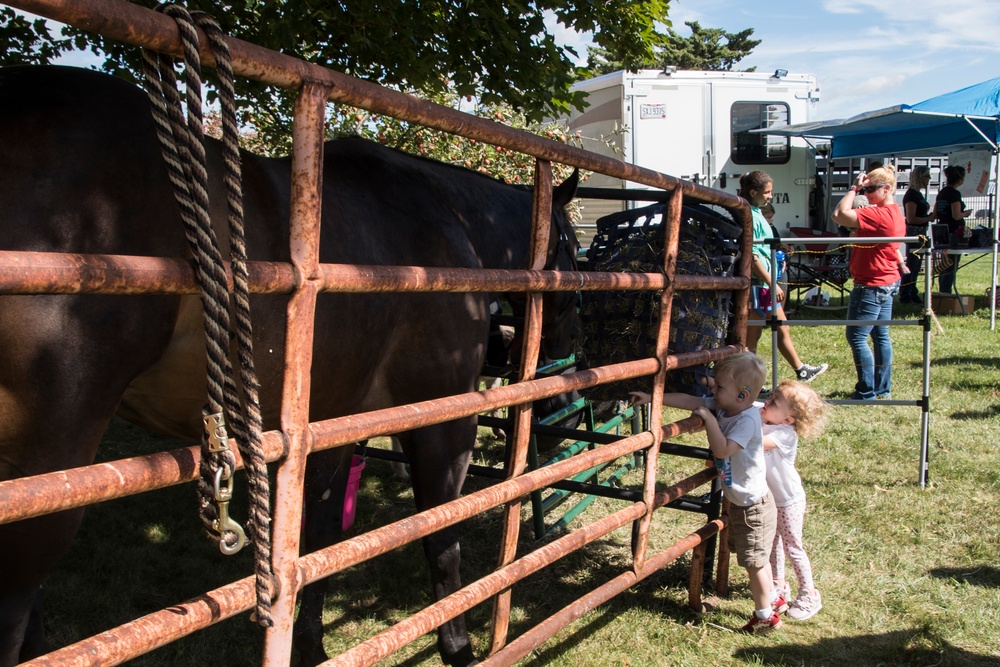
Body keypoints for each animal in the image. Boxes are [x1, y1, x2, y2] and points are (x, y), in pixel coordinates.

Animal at [0, 66, 584, 667]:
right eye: (573, 249)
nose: (564, 385)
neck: (450, 229)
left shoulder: (334, 427)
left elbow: (318, 541)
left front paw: (310, 644)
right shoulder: (440, 423)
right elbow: (440, 537)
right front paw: (460, 648)